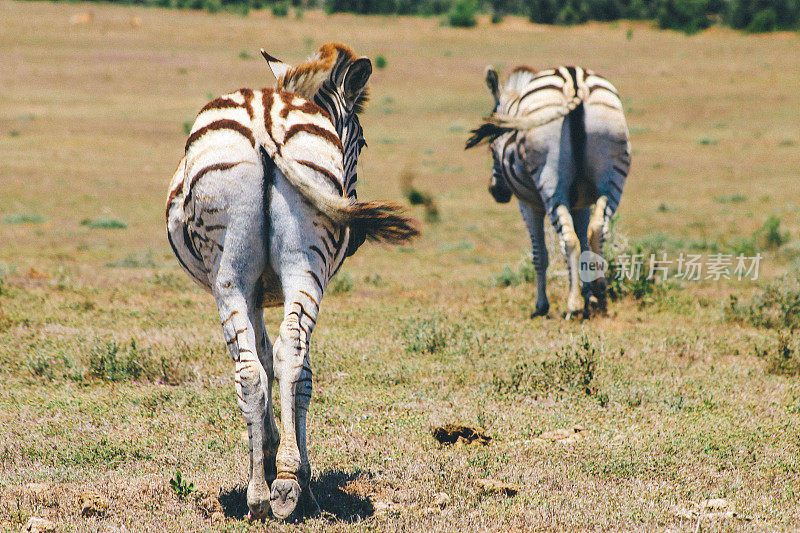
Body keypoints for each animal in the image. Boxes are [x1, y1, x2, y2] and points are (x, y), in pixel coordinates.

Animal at [166, 43, 422, 516]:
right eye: (360, 140)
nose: (357, 238)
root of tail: (265, 119)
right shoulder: (262, 291)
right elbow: (280, 366)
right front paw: (284, 462)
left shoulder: (256, 291)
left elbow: (270, 361)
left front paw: (276, 458)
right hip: (291, 268)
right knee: (282, 360)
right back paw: (278, 485)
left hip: (236, 274)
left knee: (265, 366)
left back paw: (271, 488)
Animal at [462, 65, 632, 318]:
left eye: (492, 149)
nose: (496, 192)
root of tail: (575, 82)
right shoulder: (580, 203)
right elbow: (583, 241)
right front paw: (588, 295)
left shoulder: (528, 204)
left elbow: (540, 255)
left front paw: (542, 306)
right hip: (613, 171)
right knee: (597, 229)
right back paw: (600, 294)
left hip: (549, 177)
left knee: (568, 240)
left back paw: (573, 304)